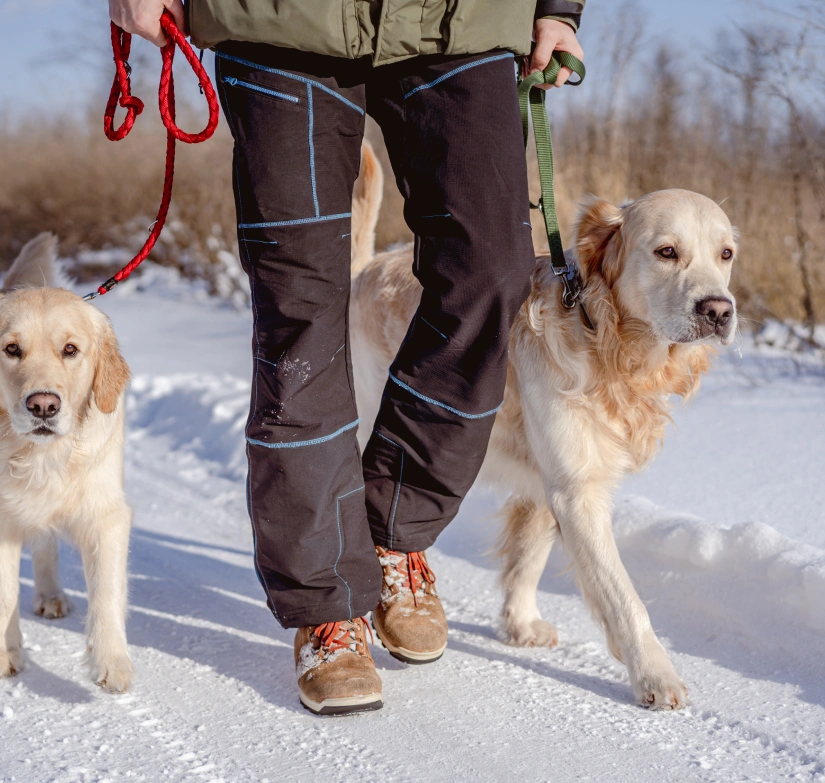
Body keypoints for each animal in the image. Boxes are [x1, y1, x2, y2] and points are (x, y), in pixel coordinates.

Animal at [0, 233, 131, 692]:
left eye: (70, 350)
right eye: (11, 349)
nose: (43, 406)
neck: (39, 457)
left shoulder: (106, 515)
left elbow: (107, 593)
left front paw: (111, 662)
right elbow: (4, 594)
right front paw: (6, 654)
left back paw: (51, 595)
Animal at [350, 142, 736, 712]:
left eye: (726, 254)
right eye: (667, 251)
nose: (719, 311)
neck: (605, 341)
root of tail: (364, 270)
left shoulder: (552, 480)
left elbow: (527, 557)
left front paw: (521, 623)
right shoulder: (578, 491)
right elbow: (624, 597)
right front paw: (655, 675)